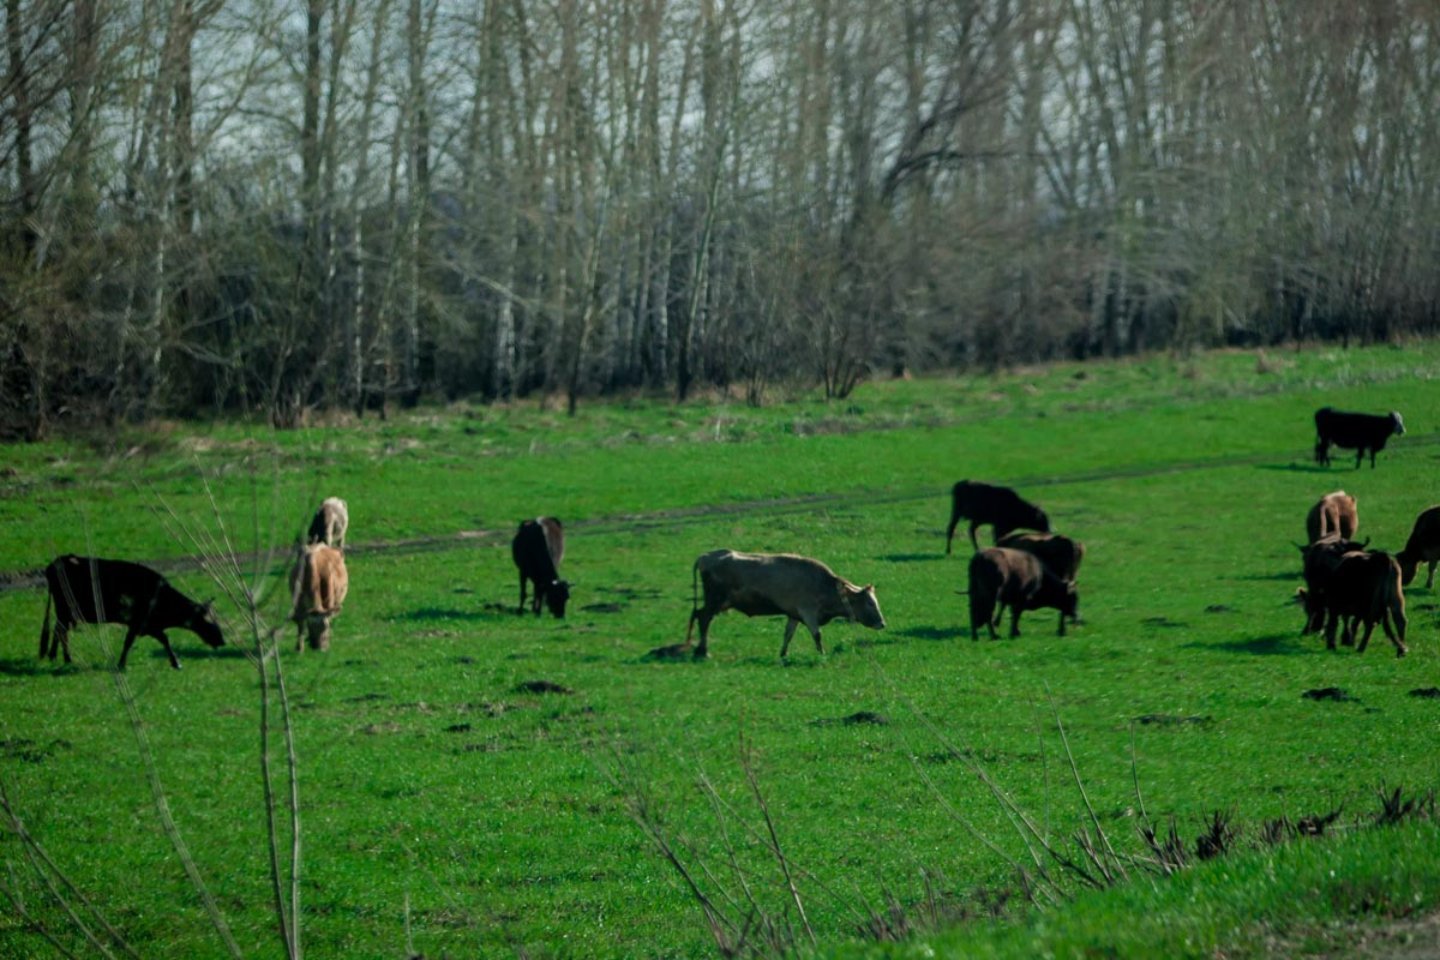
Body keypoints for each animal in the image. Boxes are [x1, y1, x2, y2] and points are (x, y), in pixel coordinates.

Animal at [36, 555, 223, 667]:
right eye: (208, 621)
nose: (222, 641)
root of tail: (57, 562)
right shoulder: (140, 623)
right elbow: (150, 640)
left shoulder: (147, 625)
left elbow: (157, 640)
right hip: (65, 610)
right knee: (61, 631)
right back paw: (66, 658)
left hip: (66, 613)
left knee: (58, 630)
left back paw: (55, 656)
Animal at [682, 546, 881, 662]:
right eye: (870, 603)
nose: (882, 623)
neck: (825, 585)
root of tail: (706, 556)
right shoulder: (808, 612)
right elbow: (817, 635)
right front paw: (822, 654)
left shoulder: (794, 614)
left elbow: (788, 635)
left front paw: (783, 654)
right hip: (715, 601)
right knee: (703, 618)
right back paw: (703, 651)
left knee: (698, 615)